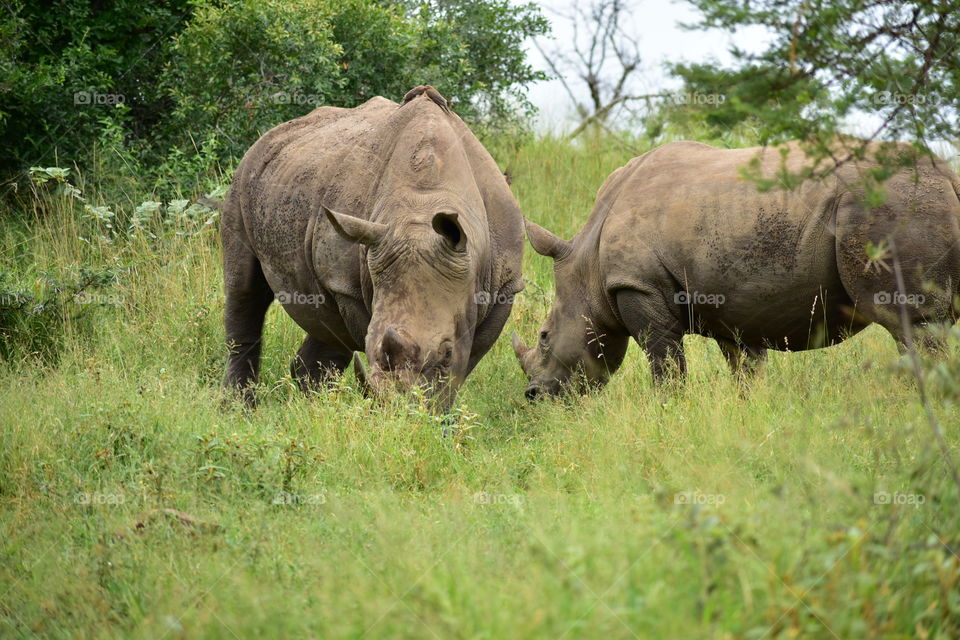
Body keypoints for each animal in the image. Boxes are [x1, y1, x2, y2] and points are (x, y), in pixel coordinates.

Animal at [221, 86, 524, 410]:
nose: (398, 409)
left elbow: (464, 364)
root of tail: (271, 134)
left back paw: (308, 405)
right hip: (244, 174)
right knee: (244, 289)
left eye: (446, 353)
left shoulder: (504, 287)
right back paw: (239, 409)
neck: (424, 203)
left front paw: (439, 415)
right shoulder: (347, 284)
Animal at [513, 140, 960, 399]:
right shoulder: (733, 302)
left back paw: (919, 406)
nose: (534, 395)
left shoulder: (637, 285)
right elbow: (744, 365)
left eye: (544, 336)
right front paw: (749, 408)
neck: (587, 266)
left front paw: (668, 412)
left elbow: (665, 361)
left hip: (891, 202)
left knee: (910, 325)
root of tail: (946, 173)